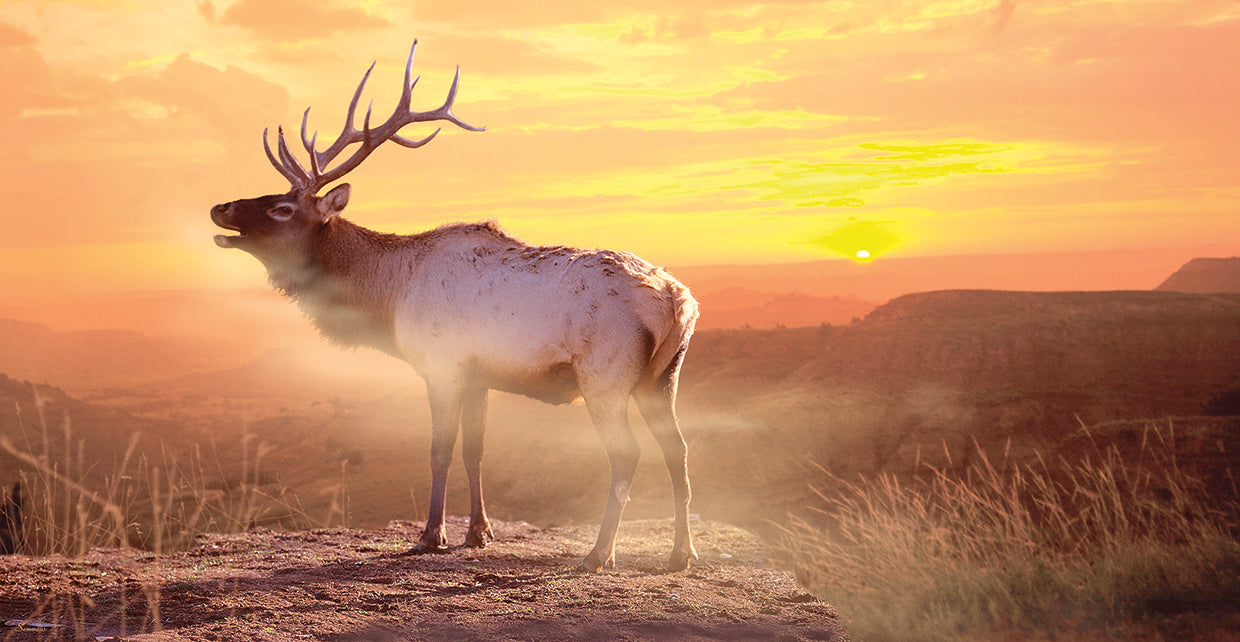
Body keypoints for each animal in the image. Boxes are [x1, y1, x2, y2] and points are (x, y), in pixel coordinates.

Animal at [210, 42, 698, 572]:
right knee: (678, 448)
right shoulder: (479, 374)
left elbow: (439, 450)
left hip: (605, 374)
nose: (220, 207)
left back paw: (599, 553)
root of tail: (677, 301)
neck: (387, 297)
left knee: (627, 454)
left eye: (282, 209)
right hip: (663, 377)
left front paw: (430, 535)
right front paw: (478, 533)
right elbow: (475, 449)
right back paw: (681, 552)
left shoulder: (440, 363)